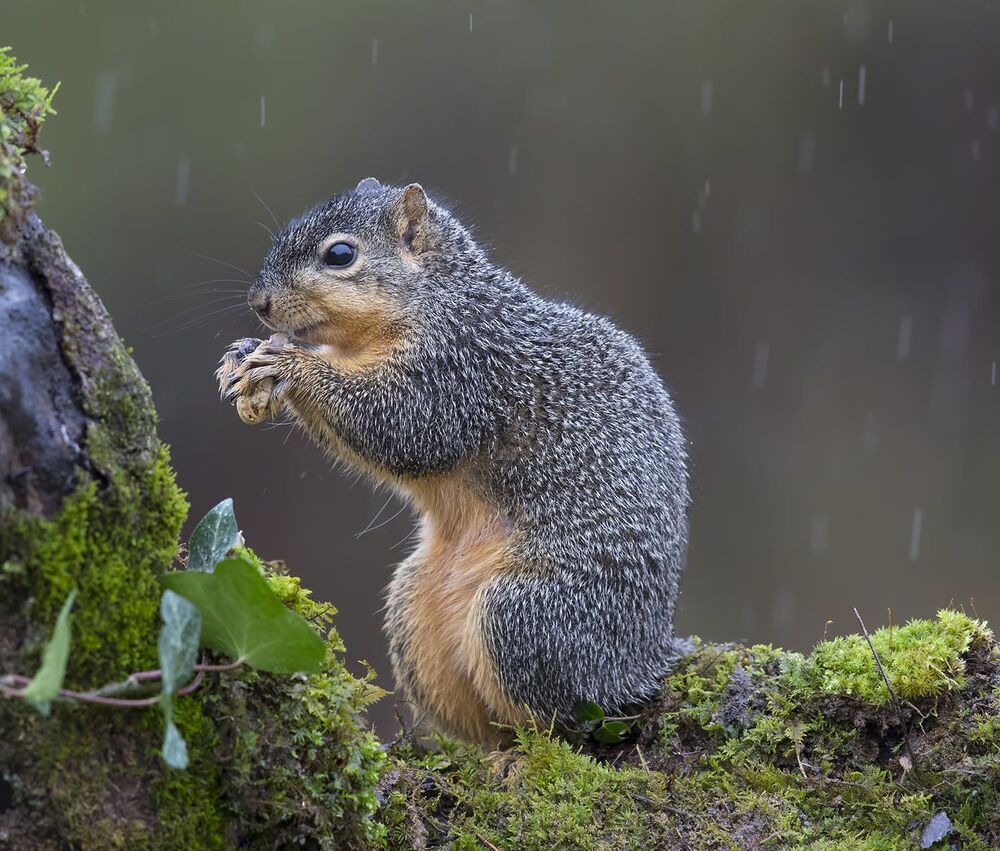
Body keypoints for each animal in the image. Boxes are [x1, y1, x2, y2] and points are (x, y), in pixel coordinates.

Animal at [217, 178, 690, 745]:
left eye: (340, 255)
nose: (258, 303)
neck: (437, 297)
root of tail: (645, 660)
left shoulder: (461, 369)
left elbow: (403, 424)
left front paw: (291, 363)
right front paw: (243, 352)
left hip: (532, 618)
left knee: (571, 721)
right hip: (414, 611)